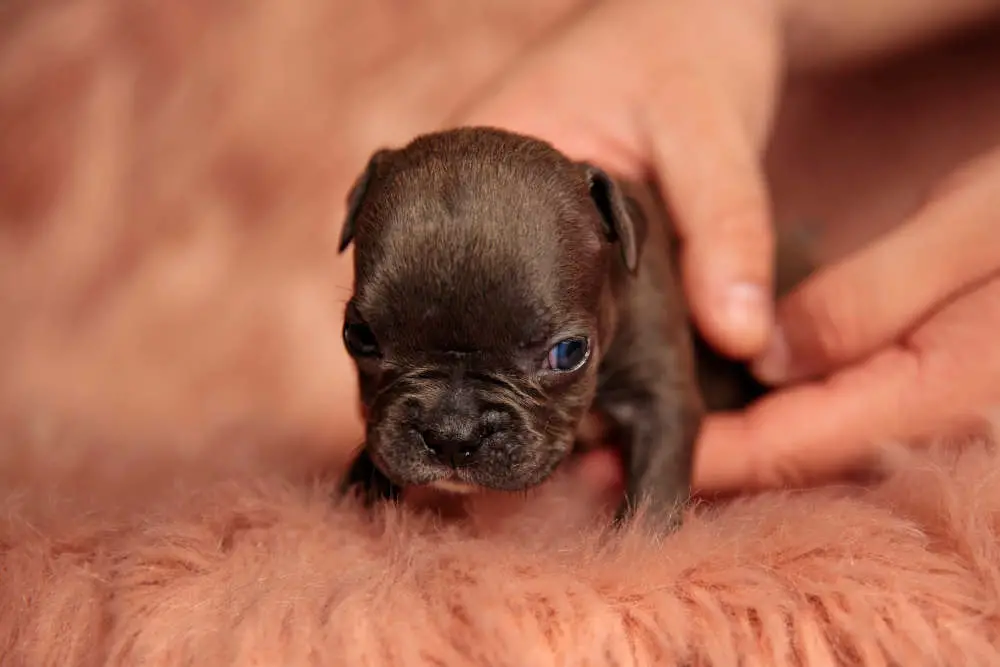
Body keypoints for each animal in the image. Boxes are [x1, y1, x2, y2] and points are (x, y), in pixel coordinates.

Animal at [340, 128, 800, 528]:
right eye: (359, 338)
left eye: (568, 353)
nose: (453, 434)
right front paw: (359, 492)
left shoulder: (659, 394)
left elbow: (654, 488)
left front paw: (637, 543)